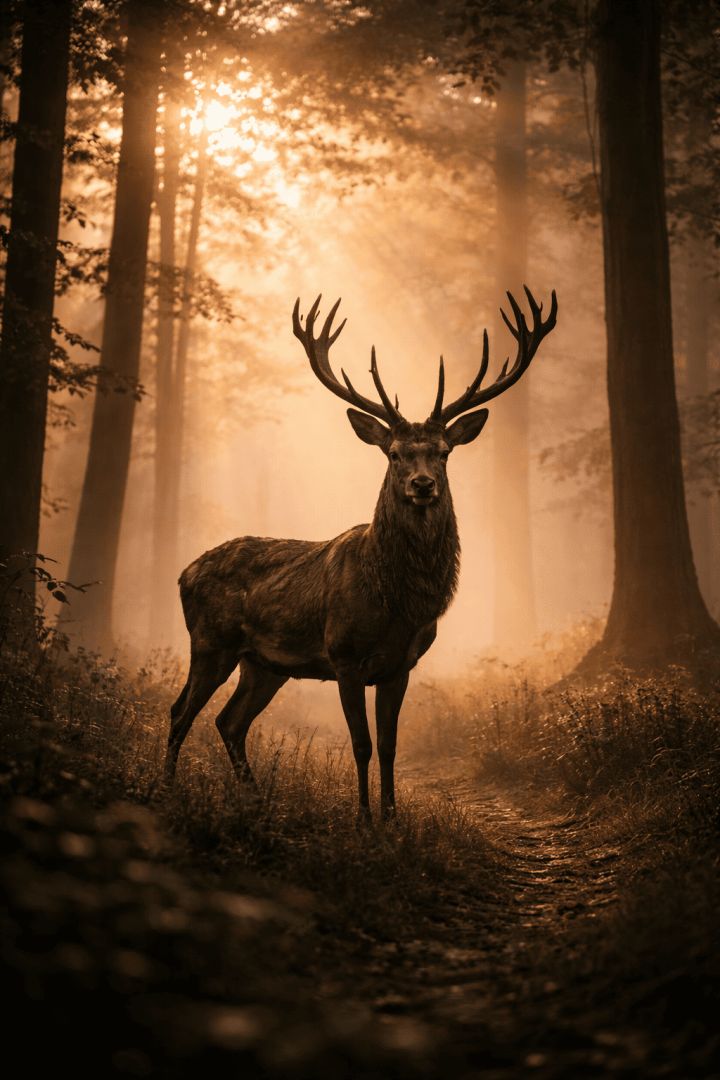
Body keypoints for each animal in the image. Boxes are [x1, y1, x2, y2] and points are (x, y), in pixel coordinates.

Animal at [164, 288, 557, 821]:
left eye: (443, 452)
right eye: (394, 453)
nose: (422, 484)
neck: (395, 601)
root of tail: (183, 572)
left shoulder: (401, 665)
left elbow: (390, 745)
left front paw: (392, 818)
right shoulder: (344, 656)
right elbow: (361, 744)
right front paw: (364, 819)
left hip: (264, 664)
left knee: (229, 721)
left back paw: (256, 801)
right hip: (210, 641)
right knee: (181, 711)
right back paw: (165, 789)